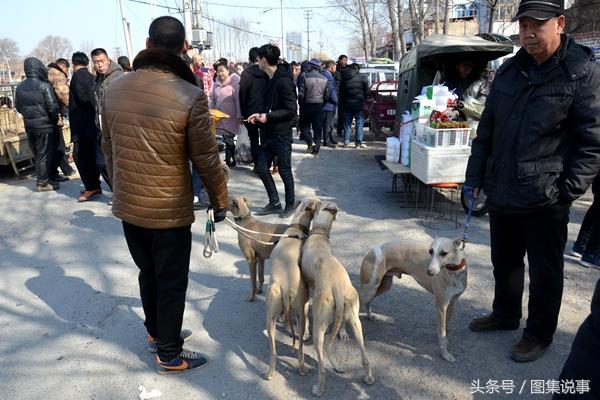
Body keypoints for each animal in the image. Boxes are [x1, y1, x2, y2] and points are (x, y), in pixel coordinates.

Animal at [264, 197, 322, 382]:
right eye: (320, 203)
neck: (296, 228)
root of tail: (285, 287)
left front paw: (283, 318)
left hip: (270, 318)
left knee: (273, 351)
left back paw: (270, 372)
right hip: (300, 312)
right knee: (301, 349)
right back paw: (302, 368)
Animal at [302, 202, 372, 398]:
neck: (319, 235)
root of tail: (337, 287)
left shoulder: (307, 287)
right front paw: (342, 333)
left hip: (319, 327)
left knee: (321, 366)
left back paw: (318, 389)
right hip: (356, 320)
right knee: (365, 357)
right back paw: (368, 377)